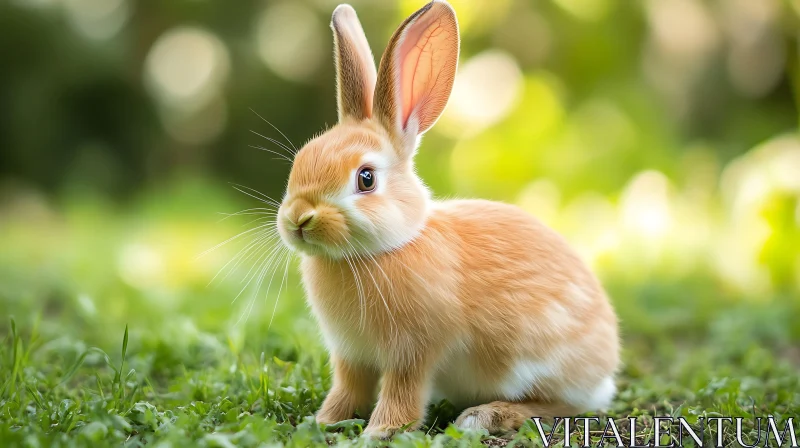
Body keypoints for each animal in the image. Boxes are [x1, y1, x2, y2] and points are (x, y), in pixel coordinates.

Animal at [278, 0, 620, 440]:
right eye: (299, 161)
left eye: (366, 178)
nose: (298, 219)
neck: (379, 252)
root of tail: (605, 368)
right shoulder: (351, 356)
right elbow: (348, 389)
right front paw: (324, 421)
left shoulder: (413, 352)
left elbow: (402, 393)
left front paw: (379, 432)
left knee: (563, 406)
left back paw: (484, 416)